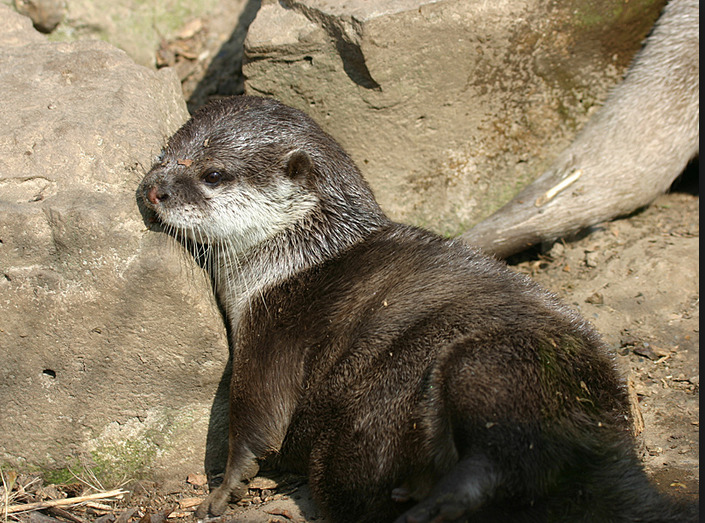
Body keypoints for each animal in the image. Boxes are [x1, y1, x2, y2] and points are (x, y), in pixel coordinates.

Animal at [139, 96, 692, 520]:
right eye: (164, 153)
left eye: (213, 174)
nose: (155, 189)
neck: (296, 258)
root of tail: (613, 435)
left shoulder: (275, 325)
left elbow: (257, 420)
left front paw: (223, 490)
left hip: (497, 362)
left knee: (503, 454)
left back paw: (431, 502)